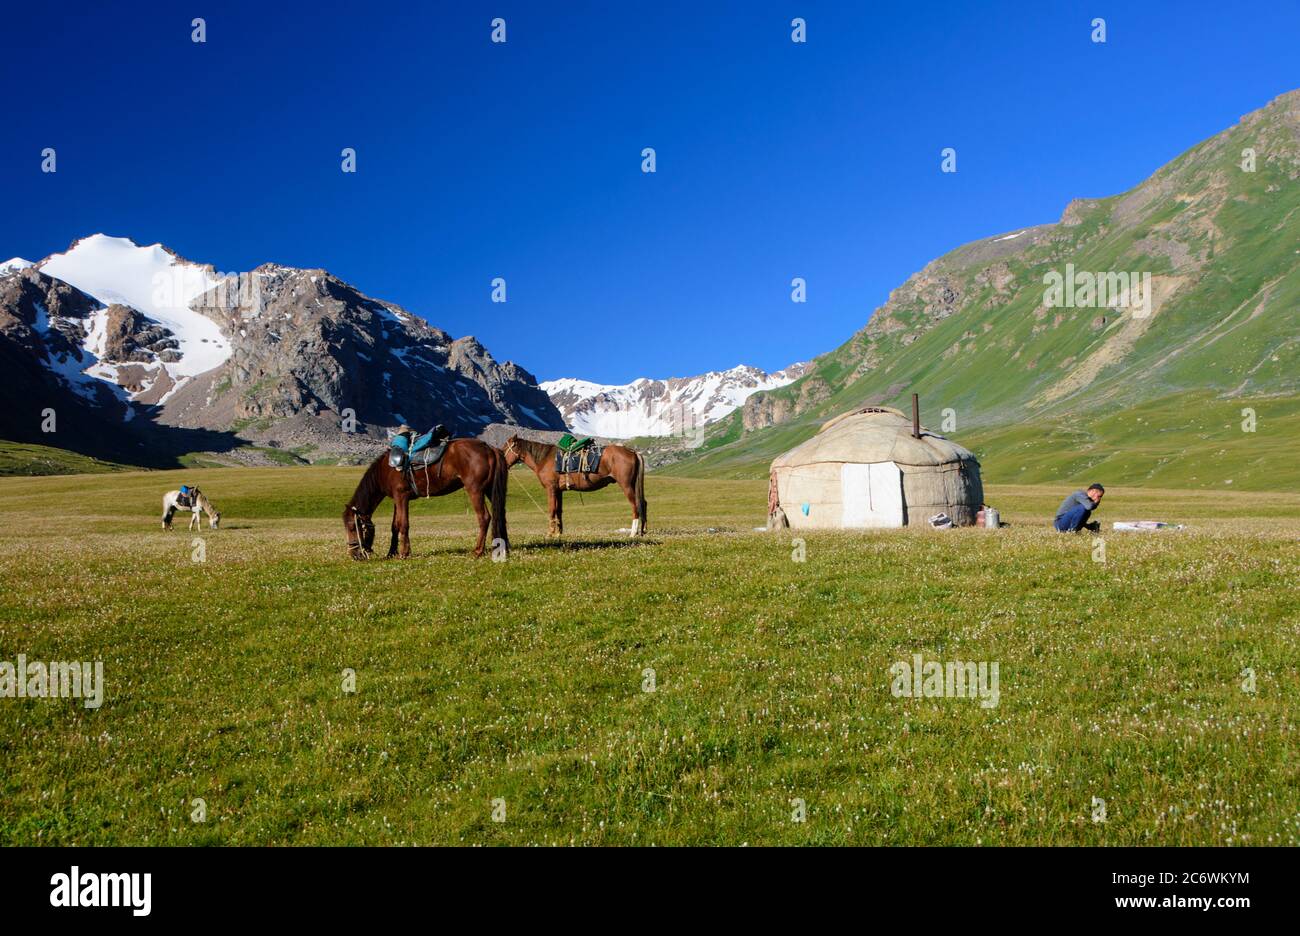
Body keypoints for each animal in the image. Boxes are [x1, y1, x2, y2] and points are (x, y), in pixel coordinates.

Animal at [340, 436, 506, 559]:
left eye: (352, 527)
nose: (354, 554)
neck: (384, 470)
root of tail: (489, 448)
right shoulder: (396, 499)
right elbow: (395, 526)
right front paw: (391, 553)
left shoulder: (402, 496)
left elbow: (403, 524)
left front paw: (404, 553)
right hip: (489, 490)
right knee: (499, 516)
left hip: (475, 490)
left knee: (484, 517)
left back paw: (478, 551)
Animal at [499, 434, 647, 538]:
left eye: (505, 448)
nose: (501, 460)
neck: (544, 459)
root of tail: (632, 452)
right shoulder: (559, 491)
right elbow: (558, 511)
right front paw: (559, 533)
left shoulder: (551, 489)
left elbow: (551, 510)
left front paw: (550, 533)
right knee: (643, 503)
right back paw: (643, 530)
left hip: (626, 485)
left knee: (635, 505)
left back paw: (633, 533)